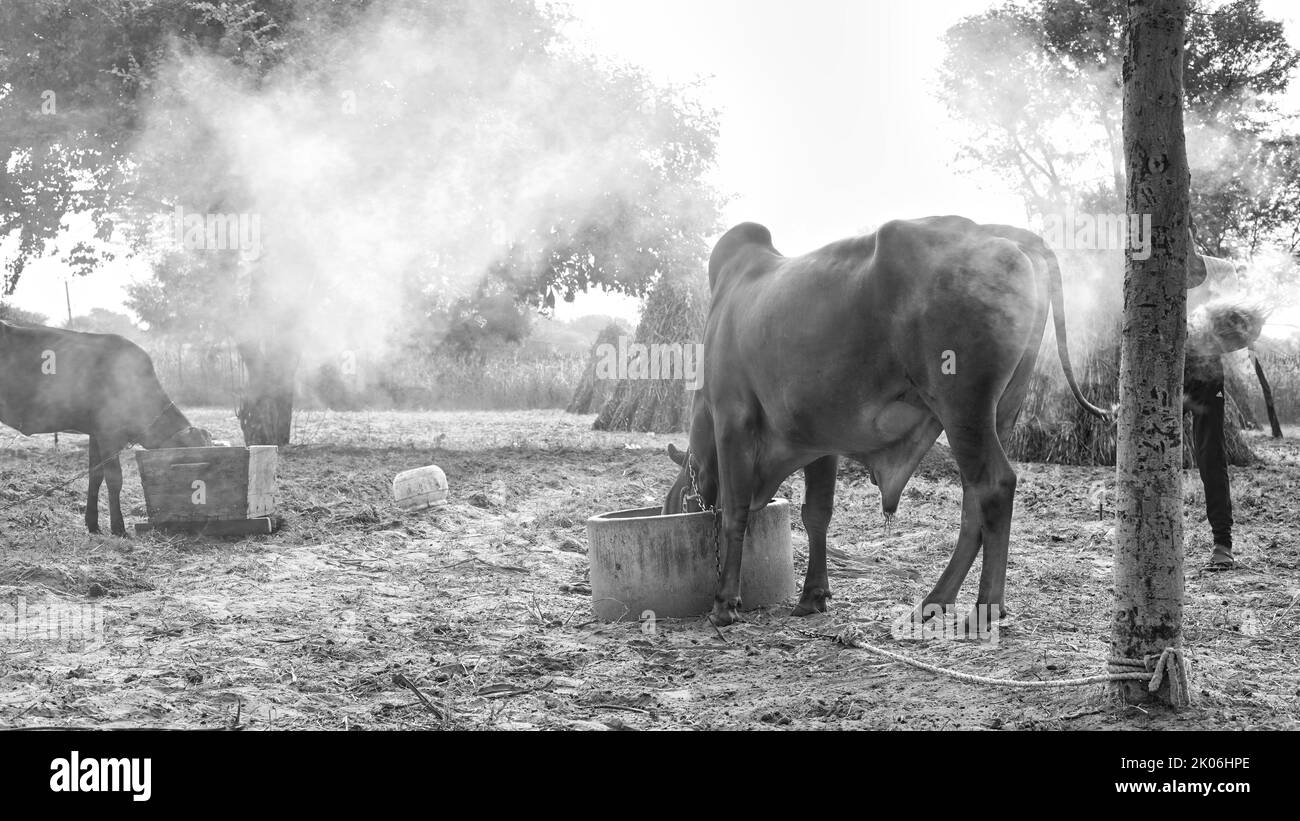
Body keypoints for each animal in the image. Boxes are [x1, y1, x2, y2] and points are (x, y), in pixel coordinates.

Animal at [0, 320, 210, 537]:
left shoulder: (95, 434)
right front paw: (118, 527)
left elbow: (95, 476)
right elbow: (114, 479)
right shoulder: (109, 434)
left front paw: (92, 524)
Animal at [670, 214, 1107, 626]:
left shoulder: (733, 418)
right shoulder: (819, 441)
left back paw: (985, 608)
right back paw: (934, 602)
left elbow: (734, 512)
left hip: (962, 408)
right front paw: (813, 596)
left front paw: (724, 603)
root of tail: (990, 231)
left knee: (994, 486)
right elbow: (816, 515)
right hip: (999, 412)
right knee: (973, 501)